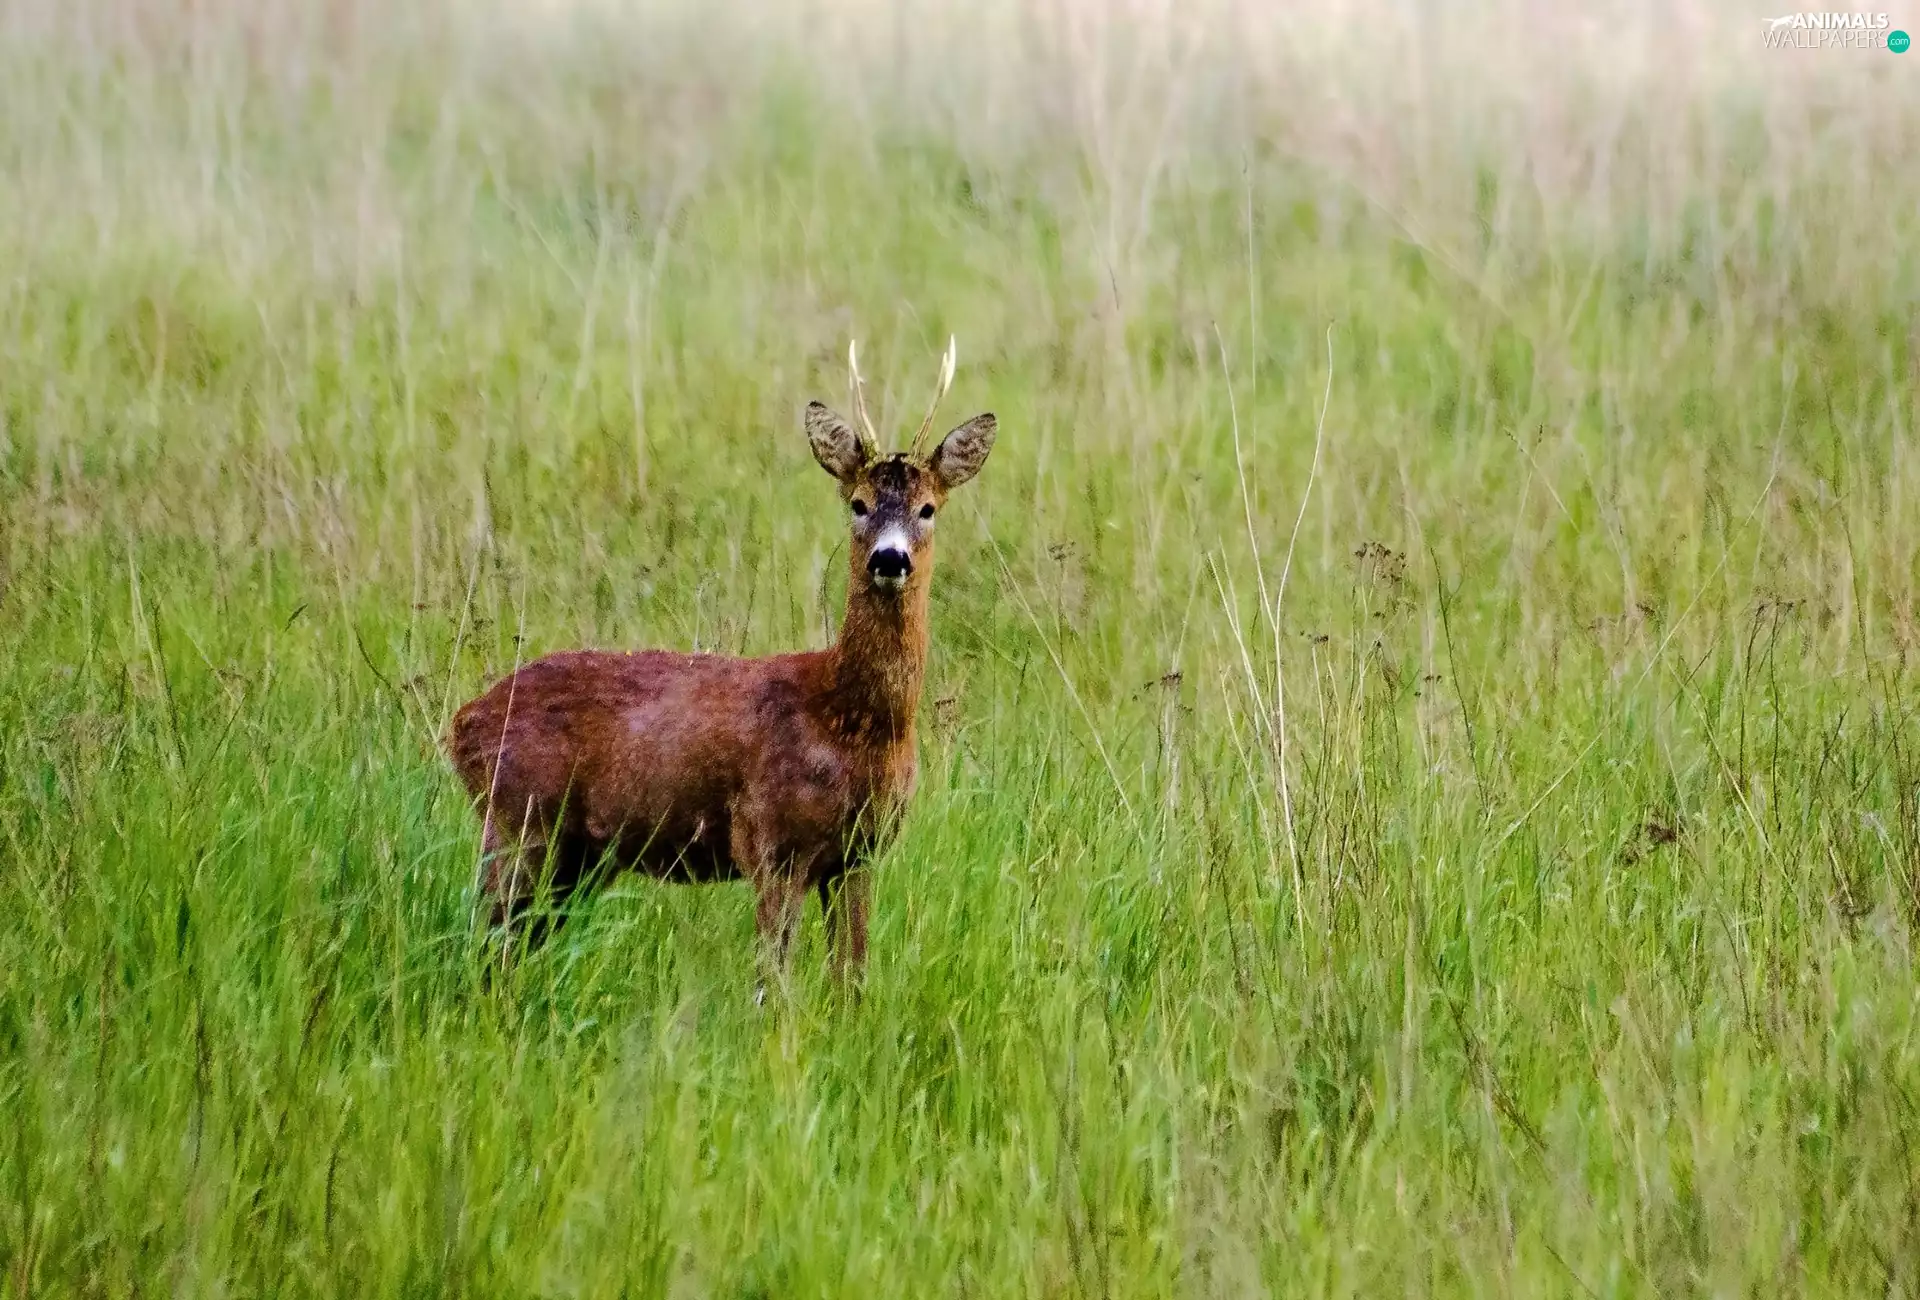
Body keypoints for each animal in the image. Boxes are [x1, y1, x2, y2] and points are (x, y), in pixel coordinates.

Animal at [445, 339, 996, 991]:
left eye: (928, 508)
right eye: (858, 504)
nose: (890, 558)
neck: (849, 719)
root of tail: (461, 724)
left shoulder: (859, 855)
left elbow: (852, 981)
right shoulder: (770, 839)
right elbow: (773, 986)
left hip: (577, 855)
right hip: (516, 821)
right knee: (483, 942)